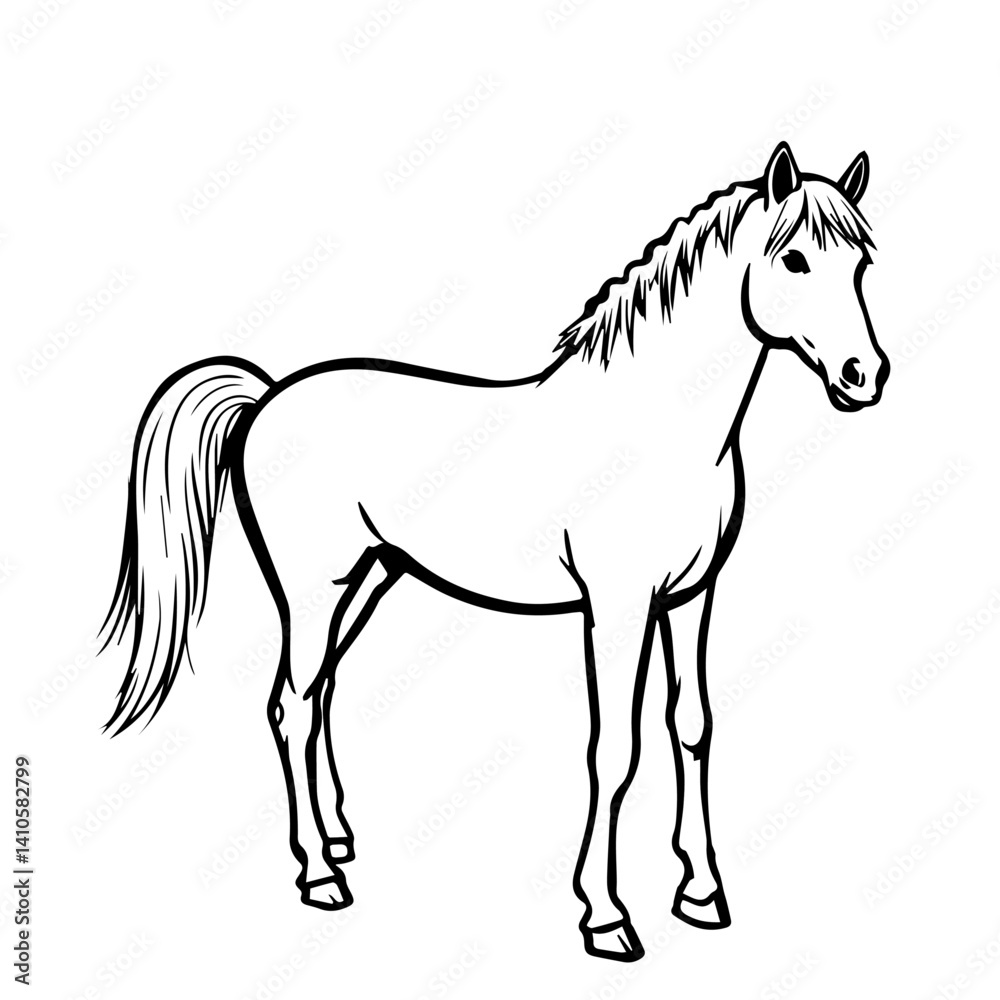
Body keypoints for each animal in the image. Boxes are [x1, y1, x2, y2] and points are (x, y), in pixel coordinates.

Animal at [99, 142, 888, 962]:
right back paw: (320, 875)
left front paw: (701, 893)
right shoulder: (617, 608)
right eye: (794, 259)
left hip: (374, 576)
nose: (864, 376)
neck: (653, 432)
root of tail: (267, 396)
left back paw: (340, 838)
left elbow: (692, 728)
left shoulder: (690, 598)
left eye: (862, 261)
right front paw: (606, 916)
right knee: (290, 704)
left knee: (320, 696)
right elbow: (615, 750)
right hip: (315, 589)